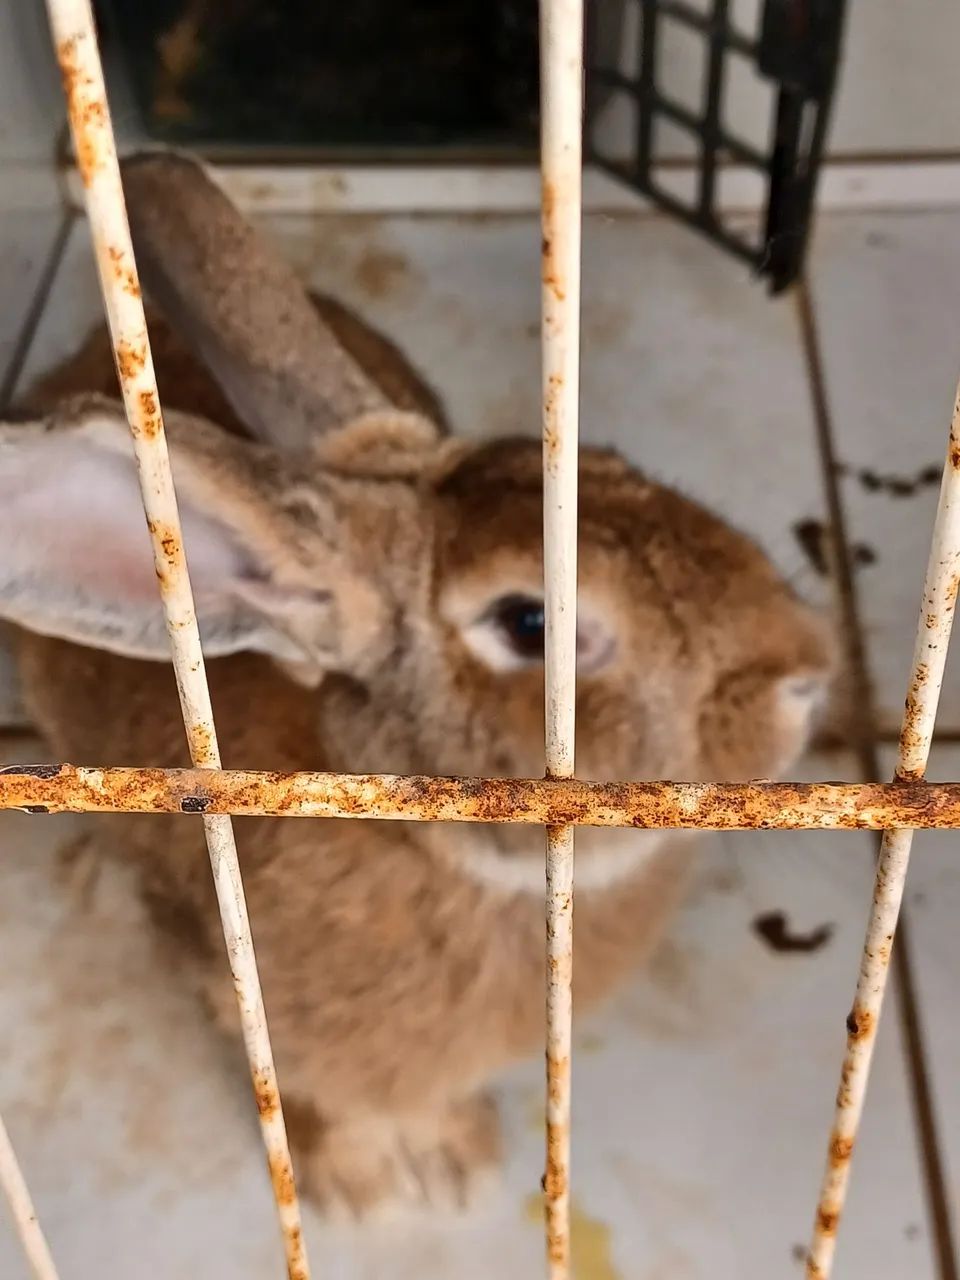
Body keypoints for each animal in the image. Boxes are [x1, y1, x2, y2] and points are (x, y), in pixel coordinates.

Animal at [0, 151, 834, 1218]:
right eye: (529, 625)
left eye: (607, 464)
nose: (805, 675)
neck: (429, 840)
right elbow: (311, 1103)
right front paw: (360, 1186)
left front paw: (457, 1158)